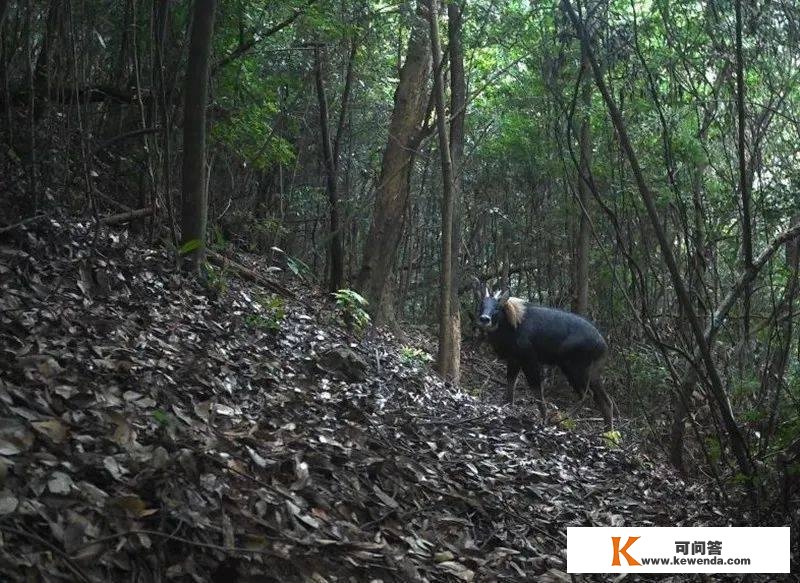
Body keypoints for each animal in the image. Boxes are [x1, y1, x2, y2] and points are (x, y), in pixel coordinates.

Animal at [476, 282, 612, 428]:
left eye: (497, 307)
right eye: (481, 304)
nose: (484, 319)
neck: (513, 325)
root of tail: (603, 345)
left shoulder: (529, 359)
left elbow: (535, 388)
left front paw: (543, 419)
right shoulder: (514, 359)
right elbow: (511, 383)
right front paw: (504, 406)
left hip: (576, 369)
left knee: (589, 396)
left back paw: (561, 420)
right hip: (588, 372)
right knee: (601, 400)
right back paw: (607, 431)